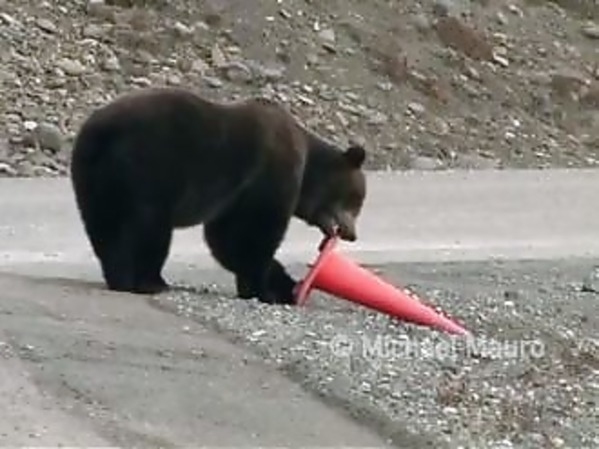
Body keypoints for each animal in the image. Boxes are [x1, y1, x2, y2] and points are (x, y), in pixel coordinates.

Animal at [69, 87, 367, 305]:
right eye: (356, 199)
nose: (352, 234)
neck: (307, 171)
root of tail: (101, 131)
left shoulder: (234, 195)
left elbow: (225, 239)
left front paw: (279, 285)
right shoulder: (268, 176)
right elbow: (253, 233)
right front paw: (269, 289)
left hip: (93, 177)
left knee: (104, 226)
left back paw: (119, 276)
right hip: (150, 169)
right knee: (149, 227)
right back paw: (149, 281)